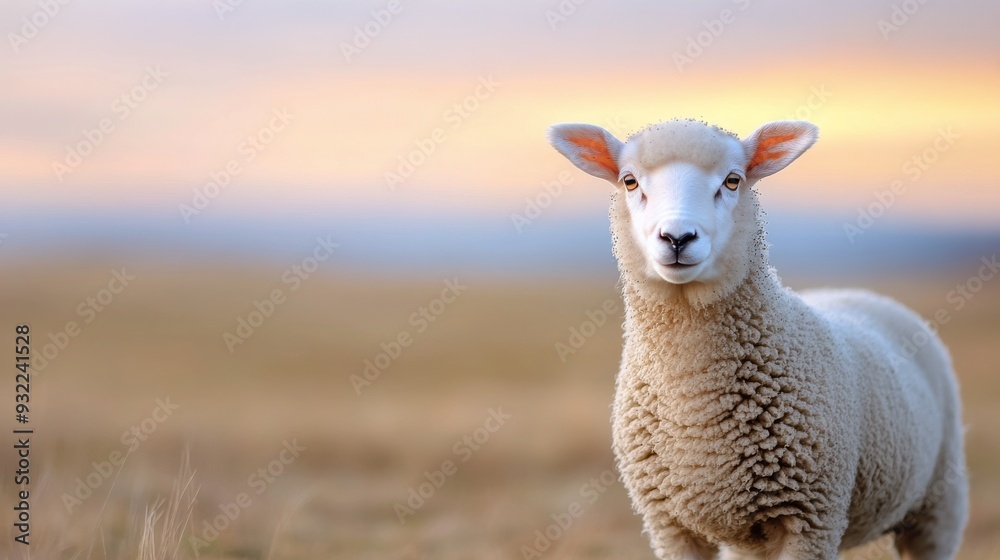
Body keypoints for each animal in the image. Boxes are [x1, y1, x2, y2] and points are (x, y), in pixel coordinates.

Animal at [547, 118, 968, 560]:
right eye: (629, 181)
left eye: (733, 180)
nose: (677, 237)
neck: (693, 404)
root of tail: (860, 292)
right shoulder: (669, 525)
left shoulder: (810, 519)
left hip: (940, 501)